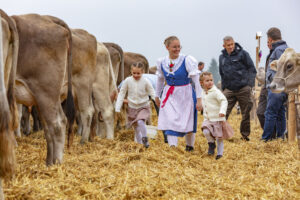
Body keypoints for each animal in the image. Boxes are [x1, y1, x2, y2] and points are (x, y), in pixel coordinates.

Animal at [12, 13, 75, 165]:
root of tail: (47, 18)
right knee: (49, 126)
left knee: (57, 123)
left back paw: (56, 163)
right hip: (41, 97)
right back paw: (49, 162)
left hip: (46, 91)